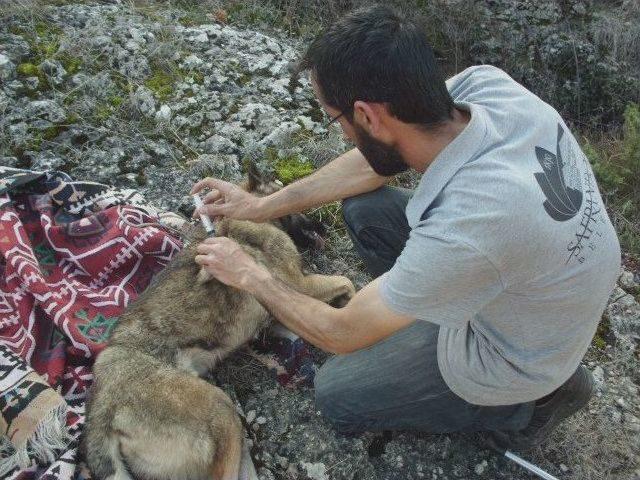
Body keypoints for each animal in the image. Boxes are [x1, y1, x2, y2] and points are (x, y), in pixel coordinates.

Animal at [81, 179, 356, 480]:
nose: (325, 227)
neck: (243, 218)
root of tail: (102, 406)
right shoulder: (299, 286)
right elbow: (347, 281)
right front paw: (350, 303)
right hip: (221, 411)